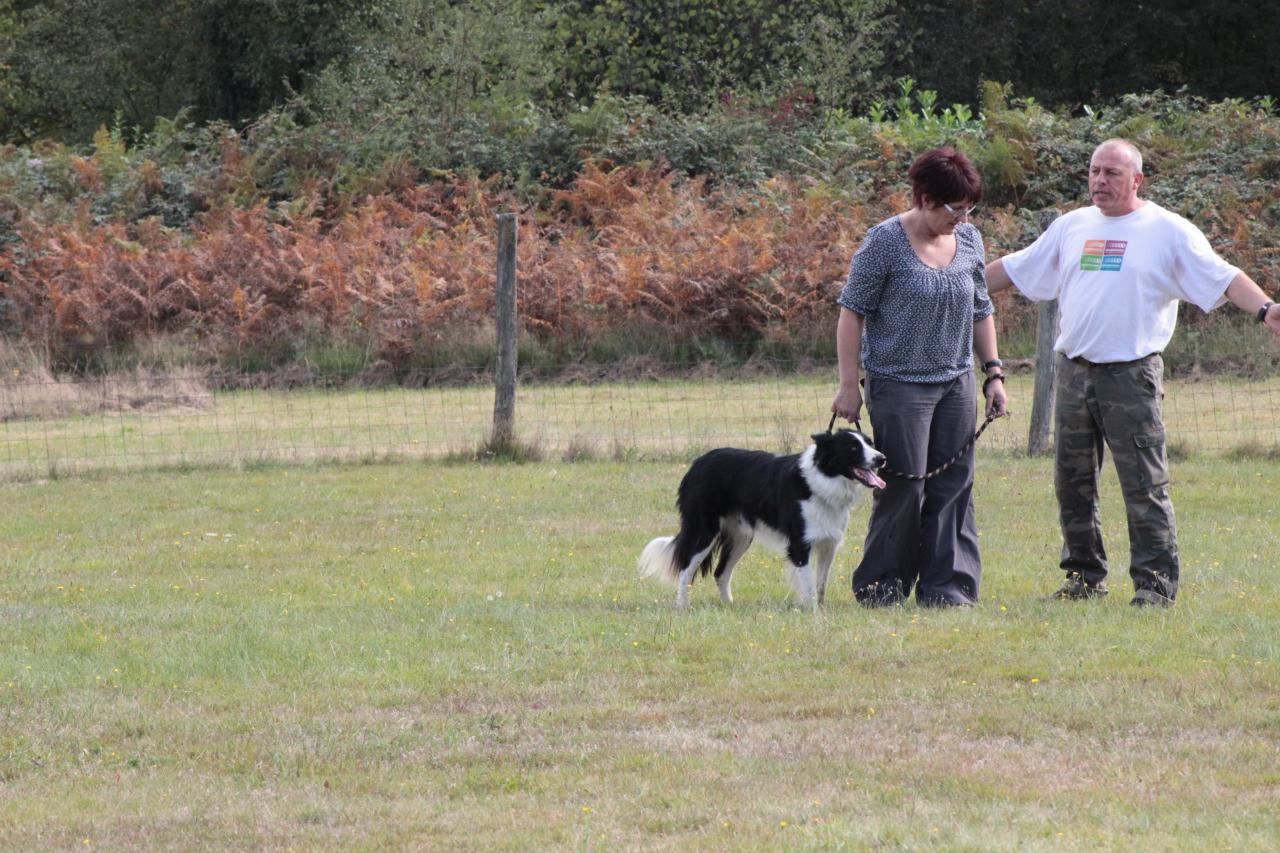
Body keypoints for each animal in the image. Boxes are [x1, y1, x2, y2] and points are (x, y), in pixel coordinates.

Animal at [637, 427, 885, 607]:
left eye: (870, 443)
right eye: (853, 447)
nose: (882, 459)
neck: (822, 479)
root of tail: (698, 463)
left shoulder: (828, 544)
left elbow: (821, 585)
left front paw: (821, 611)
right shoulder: (800, 545)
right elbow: (809, 587)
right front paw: (813, 614)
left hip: (741, 536)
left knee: (720, 572)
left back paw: (729, 606)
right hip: (704, 530)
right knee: (686, 569)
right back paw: (682, 606)